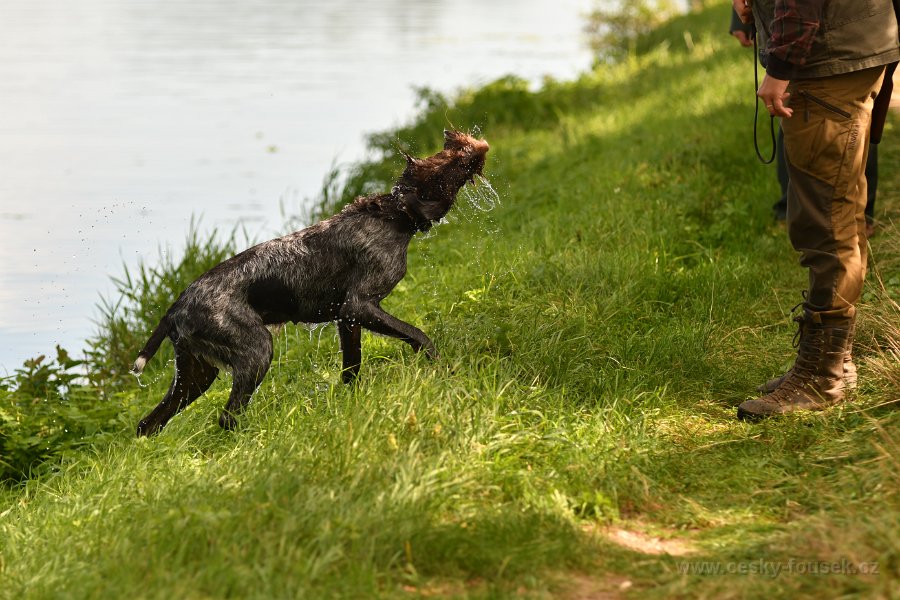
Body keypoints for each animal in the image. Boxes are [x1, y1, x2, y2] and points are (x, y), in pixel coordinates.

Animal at [130, 130, 488, 436]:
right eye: (448, 161)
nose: (470, 142)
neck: (393, 215)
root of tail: (176, 307)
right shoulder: (359, 305)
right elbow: (419, 336)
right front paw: (444, 371)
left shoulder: (347, 318)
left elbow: (351, 369)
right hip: (256, 351)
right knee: (226, 417)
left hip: (196, 375)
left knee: (148, 424)